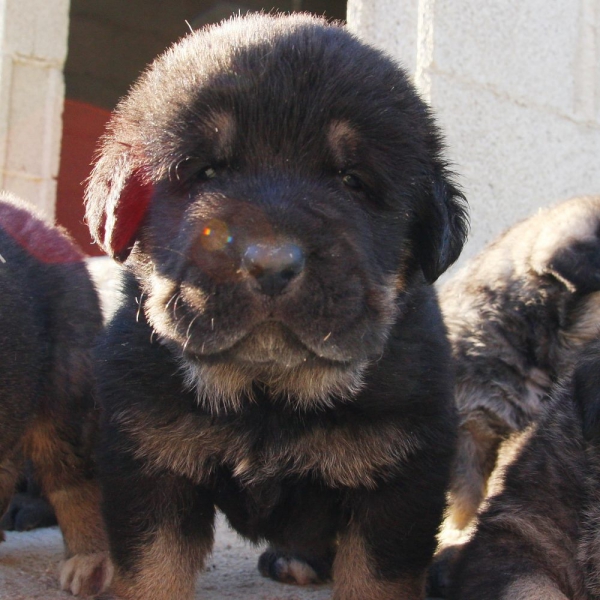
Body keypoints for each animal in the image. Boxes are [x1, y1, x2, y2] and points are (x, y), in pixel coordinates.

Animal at [85, 14, 468, 600]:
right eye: (205, 172)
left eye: (352, 181)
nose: (270, 263)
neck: (268, 394)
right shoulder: (150, 460)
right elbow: (153, 571)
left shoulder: (400, 477)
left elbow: (375, 577)